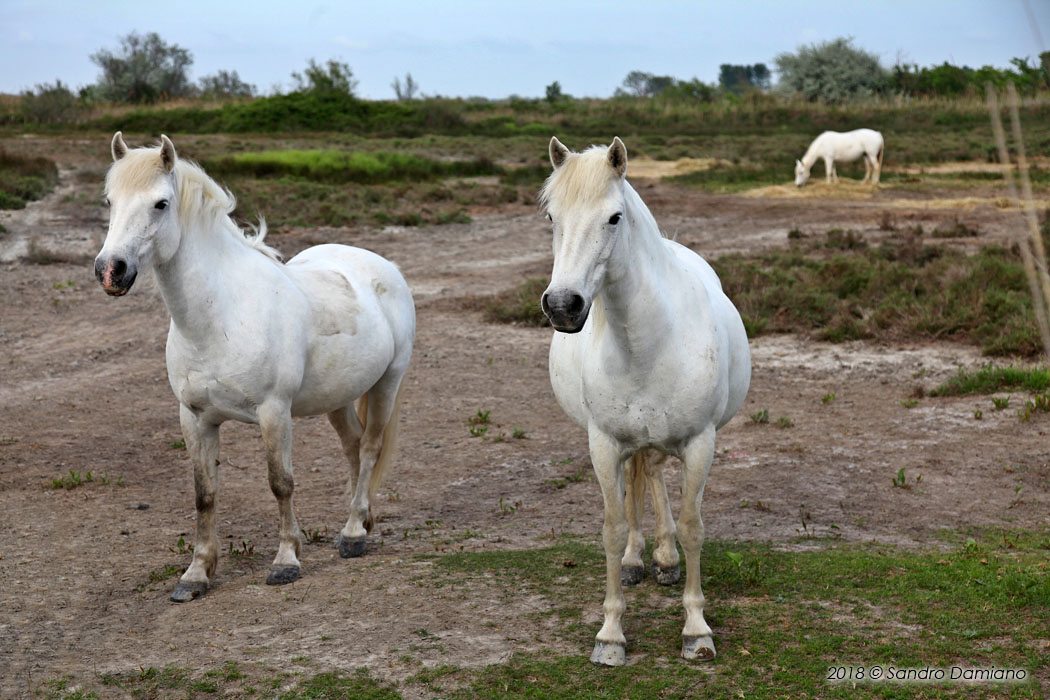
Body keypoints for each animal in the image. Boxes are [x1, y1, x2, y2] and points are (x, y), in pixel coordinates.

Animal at [95, 133, 415, 602]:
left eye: (161, 204)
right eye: (109, 200)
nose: (110, 271)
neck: (221, 317)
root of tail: (381, 265)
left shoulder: (273, 412)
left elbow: (280, 482)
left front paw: (286, 561)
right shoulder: (194, 418)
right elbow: (204, 494)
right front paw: (196, 574)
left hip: (388, 383)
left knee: (371, 446)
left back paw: (354, 533)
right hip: (338, 396)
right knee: (354, 448)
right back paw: (361, 521)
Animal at [540, 137, 751, 665]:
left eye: (614, 217)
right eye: (551, 216)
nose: (563, 306)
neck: (648, 342)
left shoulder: (699, 444)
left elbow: (694, 525)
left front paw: (697, 630)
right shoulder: (604, 444)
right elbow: (613, 529)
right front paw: (610, 634)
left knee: (653, 475)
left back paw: (666, 559)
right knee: (641, 479)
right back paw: (640, 559)